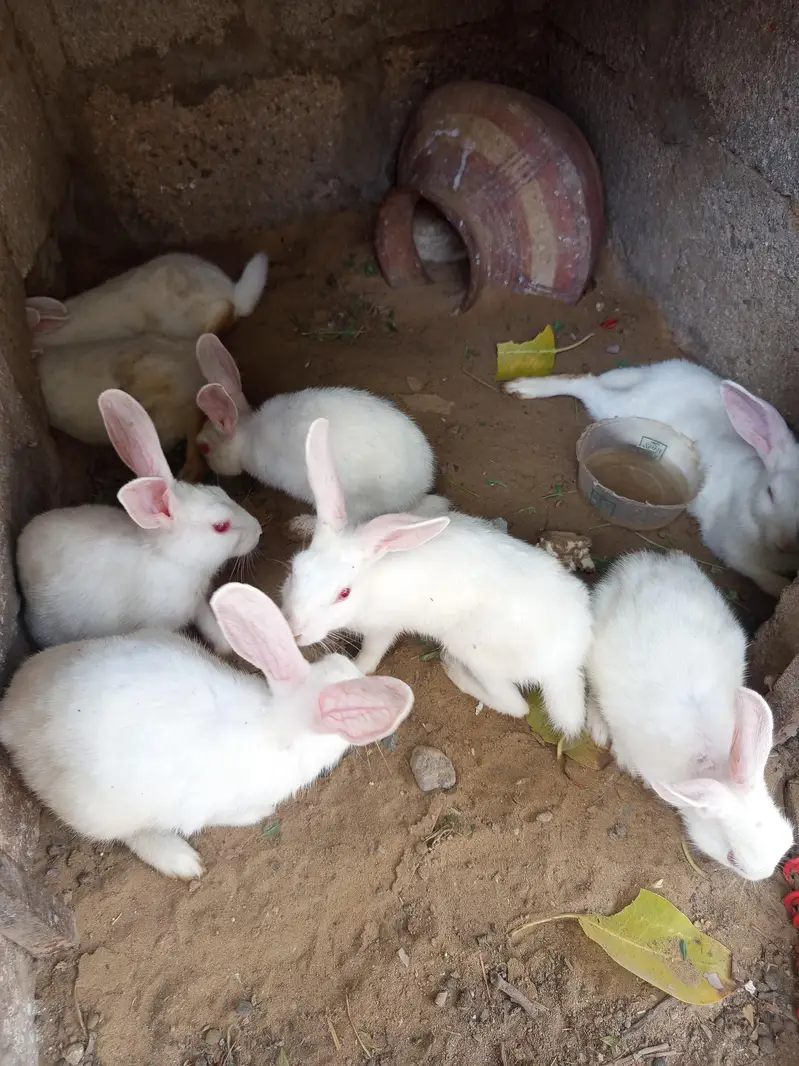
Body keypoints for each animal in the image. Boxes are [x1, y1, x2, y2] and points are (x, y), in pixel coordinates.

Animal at [0, 582, 414, 878]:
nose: (353, 669)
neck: (279, 721)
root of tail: (13, 712)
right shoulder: (216, 805)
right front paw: (260, 814)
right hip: (100, 809)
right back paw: (181, 860)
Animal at [17, 389, 262, 652]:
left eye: (221, 491)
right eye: (220, 526)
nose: (258, 531)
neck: (174, 559)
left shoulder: (197, 604)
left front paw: (226, 645)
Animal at [280, 419, 593, 737]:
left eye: (343, 593)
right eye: (294, 569)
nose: (293, 631)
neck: (371, 581)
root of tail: (567, 663)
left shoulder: (384, 628)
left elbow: (371, 654)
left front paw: (357, 667)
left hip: (474, 651)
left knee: (516, 706)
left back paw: (455, 671)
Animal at [505, 359, 799, 597]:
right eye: (771, 492)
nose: (786, 544)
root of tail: (656, 373)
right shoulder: (730, 545)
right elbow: (757, 573)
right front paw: (781, 589)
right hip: (616, 407)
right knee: (585, 384)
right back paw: (522, 387)